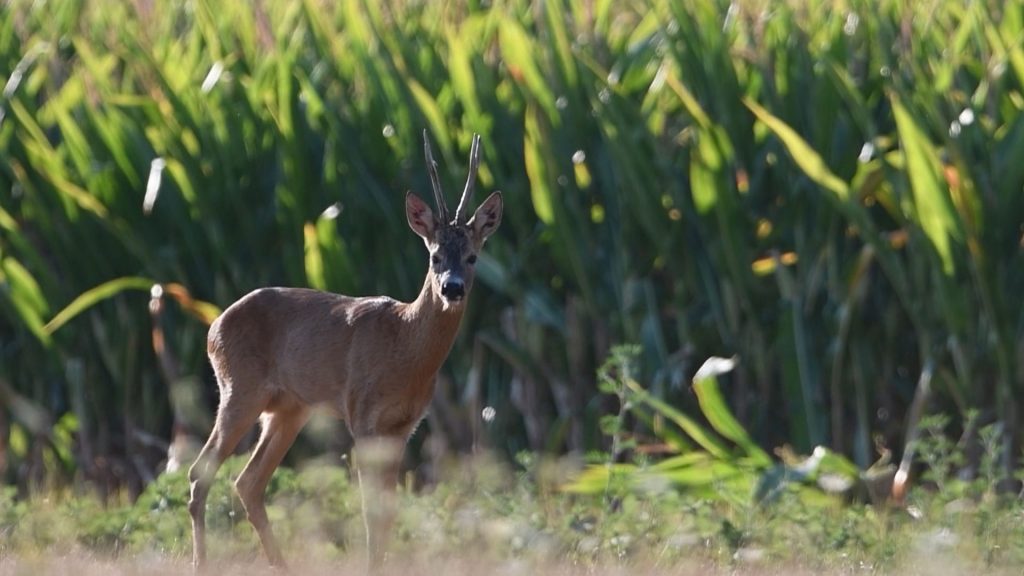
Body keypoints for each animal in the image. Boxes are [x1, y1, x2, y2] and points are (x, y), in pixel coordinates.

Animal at [189, 131, 503, 565]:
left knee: (247, 481)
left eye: (473, 257)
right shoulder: (362, 414)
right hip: (240, 389)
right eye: (435, 255)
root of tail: (214, 326)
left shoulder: (403, 425)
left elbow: (388, 513)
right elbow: (371, 512)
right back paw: (202, 562)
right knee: (199, 473)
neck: (404, 346)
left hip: (289, 408)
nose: (452, 288)